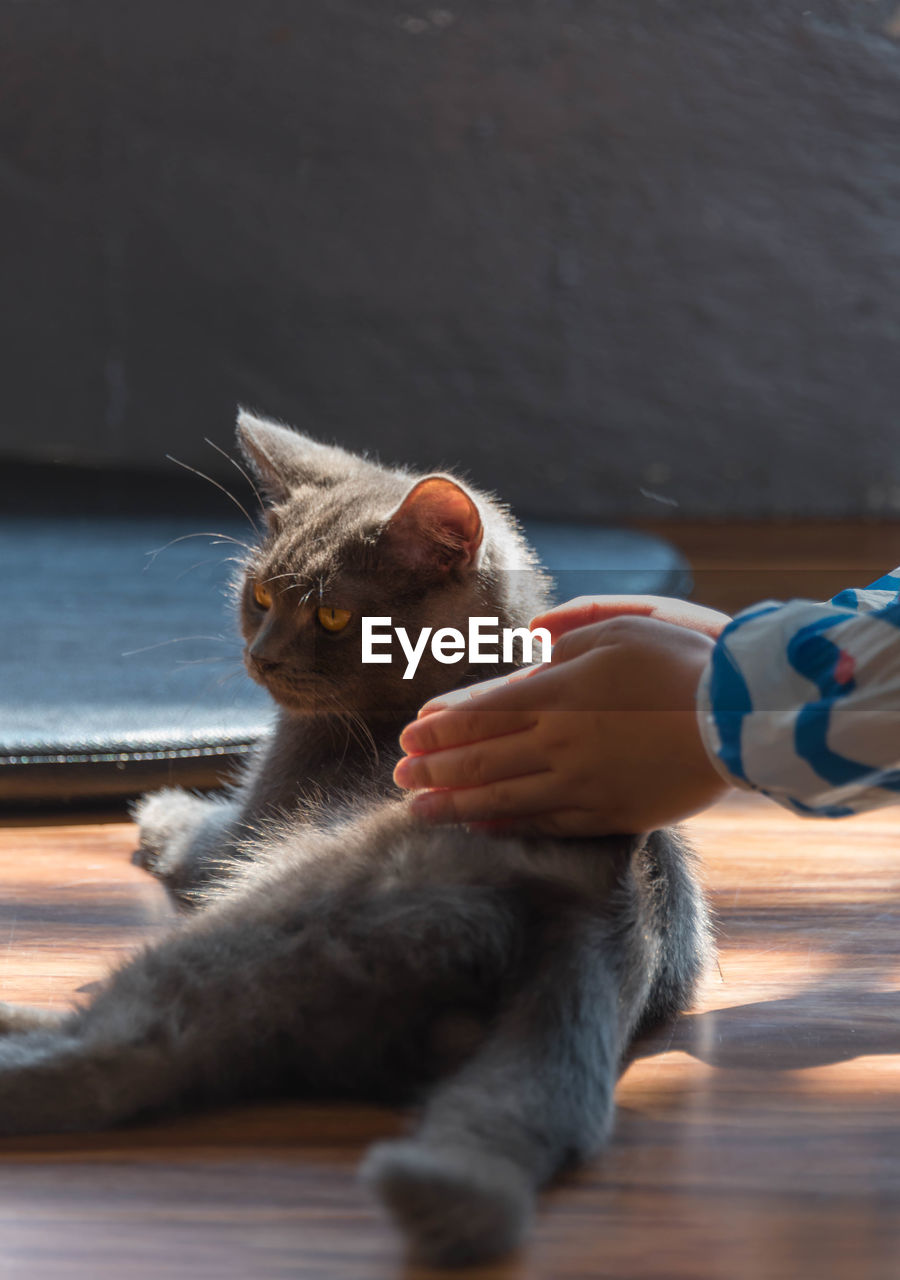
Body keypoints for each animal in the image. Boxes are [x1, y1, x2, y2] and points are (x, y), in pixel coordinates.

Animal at [0, 414, 711, 1264]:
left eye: (334, 616)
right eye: (260, 595)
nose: (261, 655)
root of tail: (597, 907)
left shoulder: (255, 815)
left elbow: (202, 837)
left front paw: (159, 808)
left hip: (277, 914)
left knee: (124, 1053)